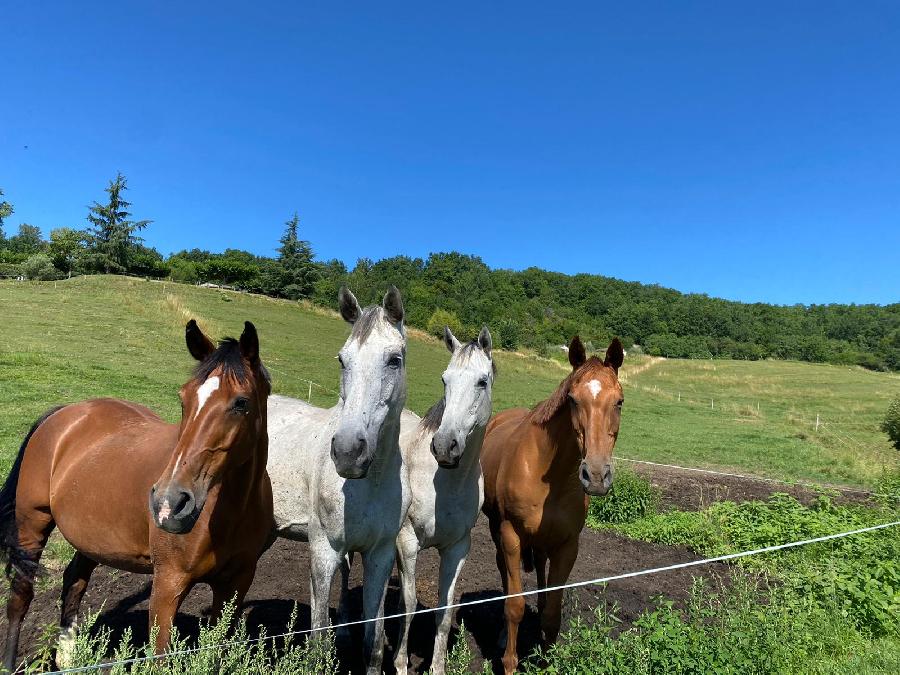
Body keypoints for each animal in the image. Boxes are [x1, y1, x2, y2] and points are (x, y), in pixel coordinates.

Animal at [0, 320, 272, 672]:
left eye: (241, 402)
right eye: (184, 400)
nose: (170, 502)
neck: (229, 511)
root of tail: (67, 413)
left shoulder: (235, 586)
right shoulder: (168, 584)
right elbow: (161, 657)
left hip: (91, 537)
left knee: (74, 580)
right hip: (32, 524)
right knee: (20, 597)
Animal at [266, 286, 410, 675]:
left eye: (394, 360)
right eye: (343, 360)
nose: (348, 451)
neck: (370, 485)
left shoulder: (379, 556)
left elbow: (373, 642)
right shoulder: (324, 550)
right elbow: (317, 643)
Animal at [392, 324, 492, 672]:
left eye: (482, 381)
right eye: (445, 379)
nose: (445, 446)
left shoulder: (457, 549)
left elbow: (444, 609)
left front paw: (437, 667)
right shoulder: (407, 543)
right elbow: (407, 606)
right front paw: (400, 664)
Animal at [482, 336, 624, 672]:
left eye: (619, 402)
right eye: (572, 399)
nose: (596, 475)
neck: (550, 474)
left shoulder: (567, 545)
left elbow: (553, 611)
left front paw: (547, 660)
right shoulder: (511, 535)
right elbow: (515, 605)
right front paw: (510, 663)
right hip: (497, 531)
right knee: (505, 576)